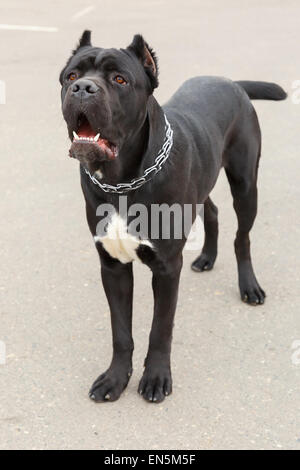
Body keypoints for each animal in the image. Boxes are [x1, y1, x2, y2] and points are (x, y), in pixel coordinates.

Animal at [59, 31, 288, 402]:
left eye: (119, 79)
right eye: (71, 76)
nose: (83, 89)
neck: (122, 180)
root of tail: (230, 81)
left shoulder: (166, 268)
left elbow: (160, 328)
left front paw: (155, 378)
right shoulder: (113, 266)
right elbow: (121, 331)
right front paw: (115, 378)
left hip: (245, 182)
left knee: (242, 236)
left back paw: (249, 286)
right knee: (212, 211)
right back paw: (207, 257)